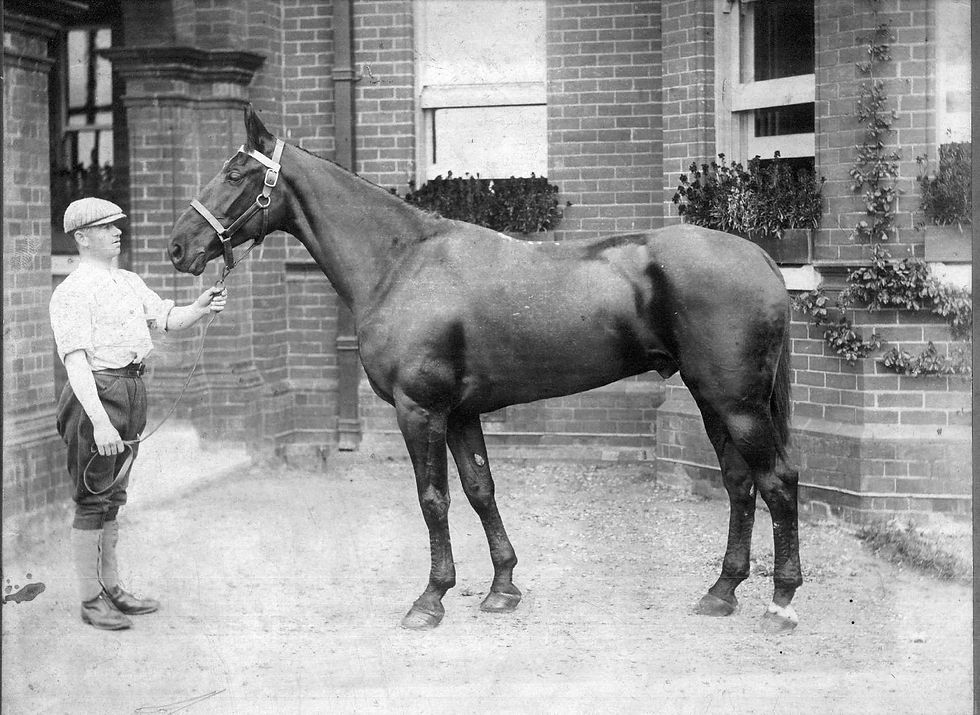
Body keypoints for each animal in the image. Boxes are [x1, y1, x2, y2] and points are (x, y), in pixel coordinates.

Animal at [168, 106, 803, 633]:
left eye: (234, 174)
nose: (178, 248)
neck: (401, 263)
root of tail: (760, 255)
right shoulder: (460, 414)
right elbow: (479, 490)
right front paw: (502, 587)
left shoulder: (419, 409)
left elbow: (433, 499)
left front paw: (430, 599)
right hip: (711, 400)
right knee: (740, 484)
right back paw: (721, 592)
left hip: (736, 402)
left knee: (778, 482)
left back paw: (781, 602)